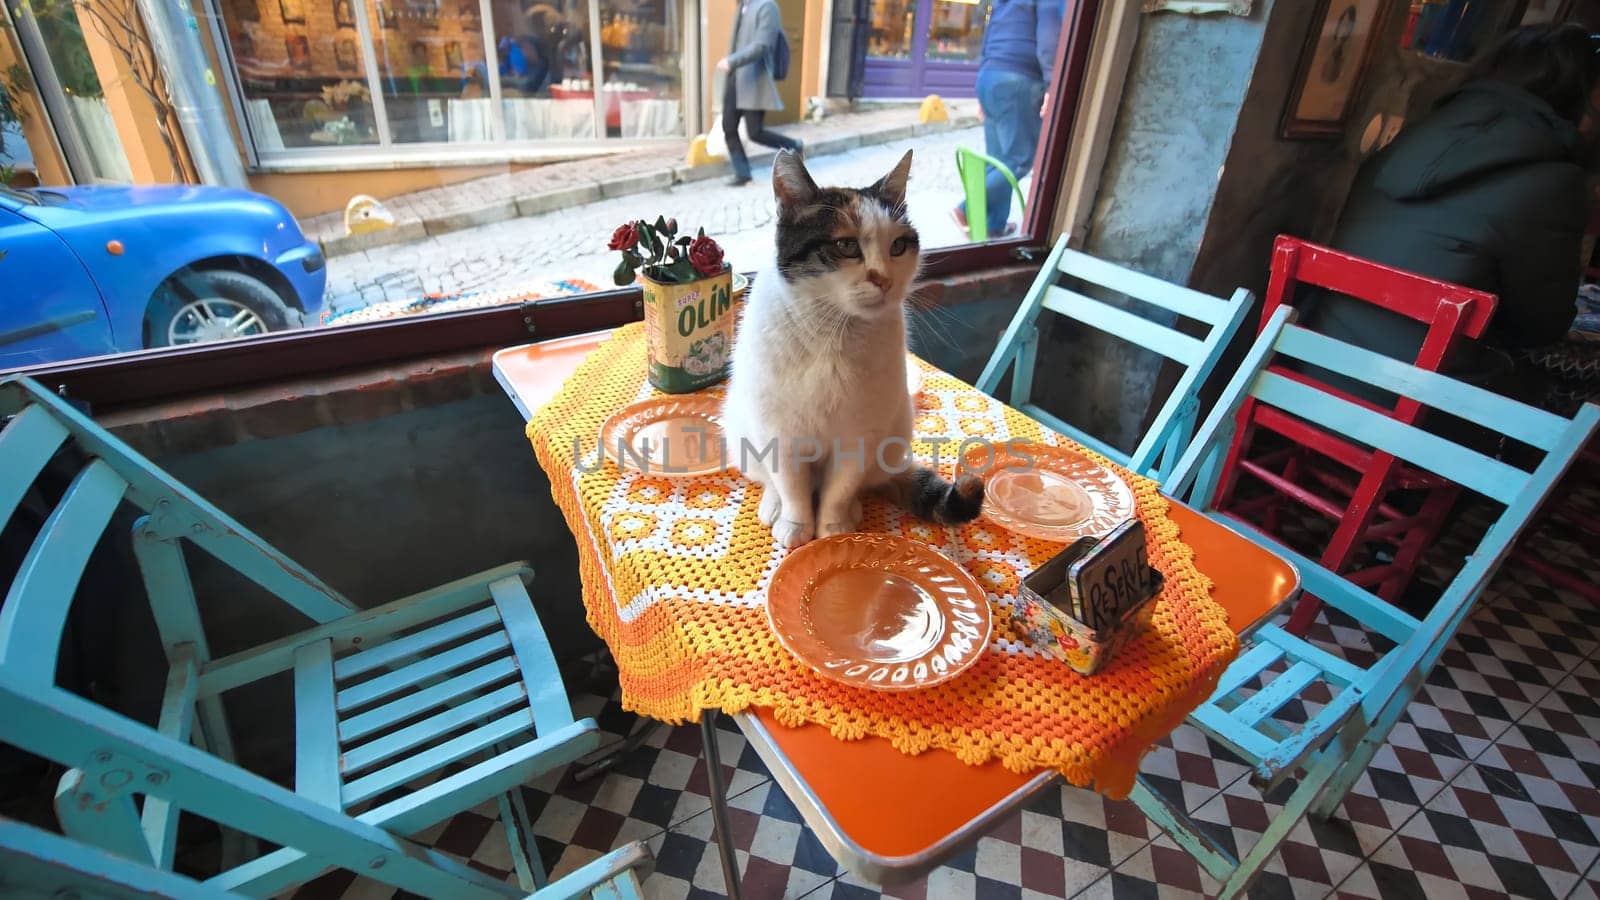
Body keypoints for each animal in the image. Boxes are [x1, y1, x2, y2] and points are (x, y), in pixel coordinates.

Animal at [723, 147, 972, 547]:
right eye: (846, 245)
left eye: (898, 246)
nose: (883, 279)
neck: (831, 334)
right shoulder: (781, 434)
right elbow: (792, 488)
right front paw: (796, 525)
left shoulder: (860, 436)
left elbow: (839, 489)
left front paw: (832, 528)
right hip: (742, 430)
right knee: (770, 478)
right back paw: (774, 506)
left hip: (893, 433)